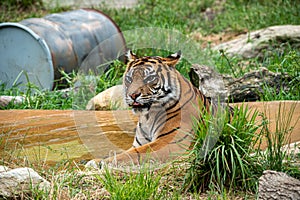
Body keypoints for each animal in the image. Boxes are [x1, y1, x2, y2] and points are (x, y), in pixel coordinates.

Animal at [85, 50, 217, 169]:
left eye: (149, 79)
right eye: (129, 79)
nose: (132, 95)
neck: (148, 116)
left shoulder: (169, 142)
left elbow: (134, 153)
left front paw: (105, 163)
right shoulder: (138, 143)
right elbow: (124, 151)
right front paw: (96, 161)